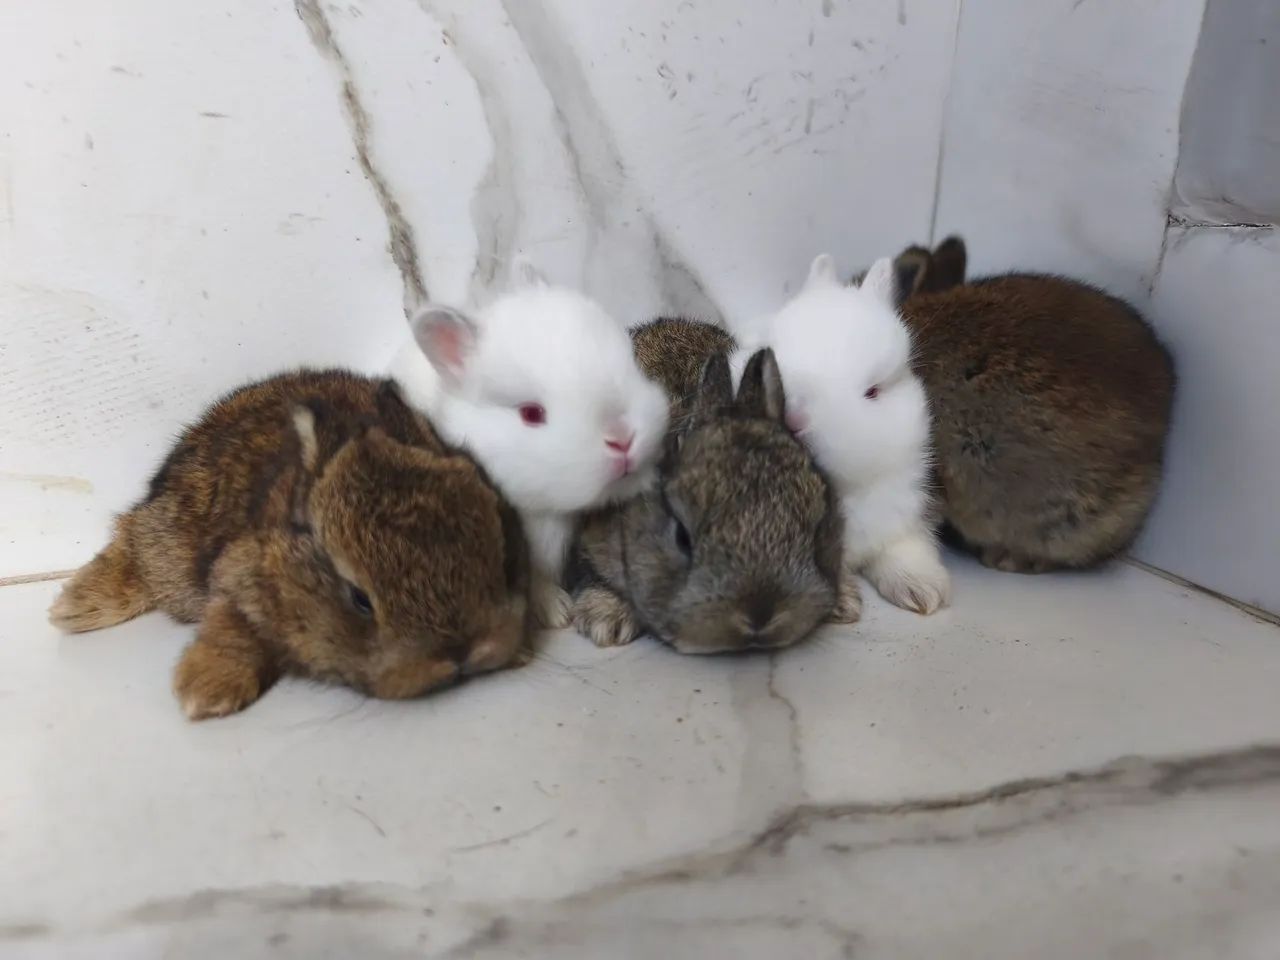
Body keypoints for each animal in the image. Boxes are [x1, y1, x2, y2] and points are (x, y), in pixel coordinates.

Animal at [49, 370, 531, 720]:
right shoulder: (236, 577)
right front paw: (204, 693)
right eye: (359, 599)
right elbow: (233, 627)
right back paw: (74, 608)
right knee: (132, 539)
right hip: (170, 544)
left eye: (501, 556)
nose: (463, 653)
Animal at [728, 255, 950, 616]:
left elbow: (905, 547)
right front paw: (843, 601)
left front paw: (924, 591)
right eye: (767, 353)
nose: (794, 416)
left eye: (873, 391)